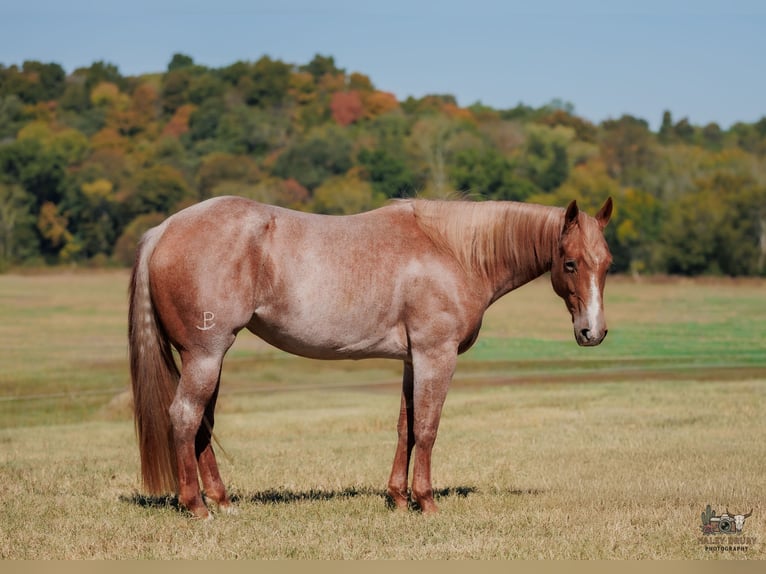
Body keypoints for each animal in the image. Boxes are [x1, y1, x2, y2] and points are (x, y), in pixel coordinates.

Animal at [128, 195, 613, 518]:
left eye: (606, 262)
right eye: (570, 263)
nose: (593, 332)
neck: (451, 251)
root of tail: (164, 229)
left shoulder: (412, 360)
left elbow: (406, 428)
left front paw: (398, 498)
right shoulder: (436, 356)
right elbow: (428, 428)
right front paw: (426, 501)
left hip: (208, 358)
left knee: (203, 423)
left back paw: (223, 501)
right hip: (205, 355)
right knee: (185, 417)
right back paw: (197, 507)